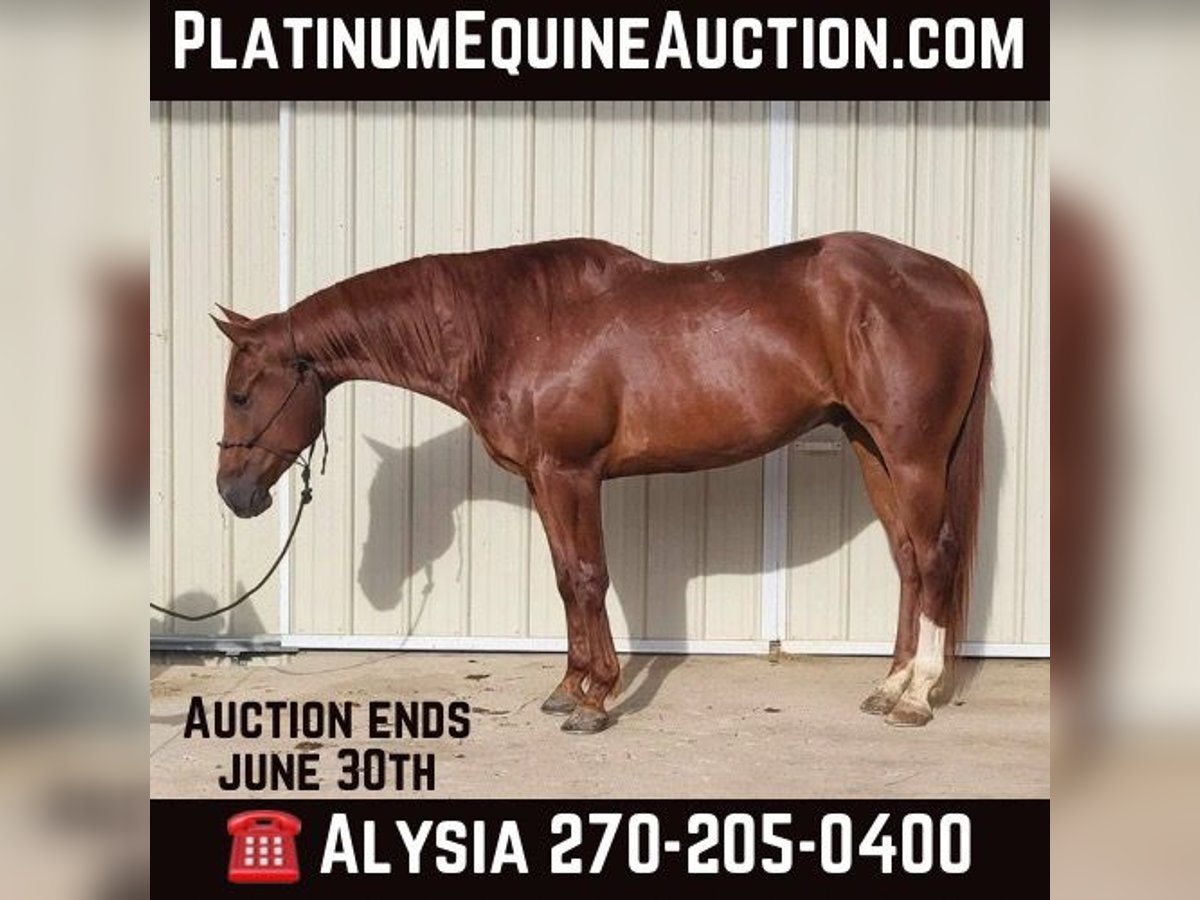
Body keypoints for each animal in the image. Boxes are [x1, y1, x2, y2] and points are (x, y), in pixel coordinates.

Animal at [213, 232, 992, 734]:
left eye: (243, 394)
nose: (233, 495)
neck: (505, 326)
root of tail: (954, 278)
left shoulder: (572, 473)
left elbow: (589, 577)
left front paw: (596, 702)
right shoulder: (543, 481)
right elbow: (566, 581)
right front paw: (568, 688)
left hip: (914, 454)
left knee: (936, 557)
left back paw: (917, 696)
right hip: (870, 448)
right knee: (908, 562)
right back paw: (889, 685)